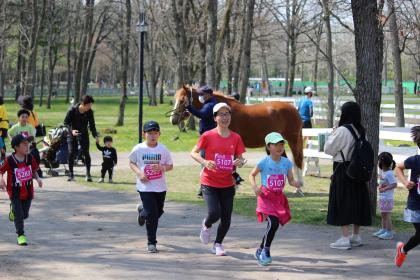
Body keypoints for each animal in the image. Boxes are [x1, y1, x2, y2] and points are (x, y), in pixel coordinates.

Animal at [171, 84, 306, 182]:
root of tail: (293, 108)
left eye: (182, 100)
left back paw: (299, 187)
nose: (173, 119)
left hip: (293, 140)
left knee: (297, 159)